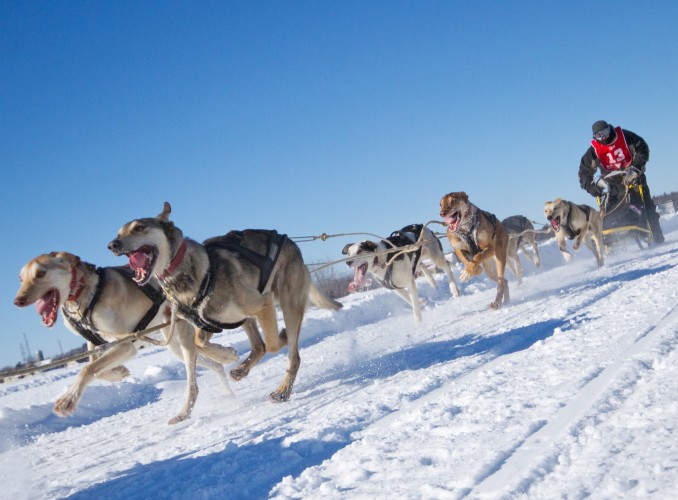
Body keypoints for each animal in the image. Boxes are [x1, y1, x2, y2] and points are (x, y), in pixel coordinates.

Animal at [13, 252, 242, 424]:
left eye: (41, 273)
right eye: (21, 279)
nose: (18, 300)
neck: (84, 296)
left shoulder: (125, 346)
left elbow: (88, 369)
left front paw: (68, 400)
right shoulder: (98, 344)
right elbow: (95, 367)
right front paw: (117, 373)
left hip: (181, 336)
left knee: (194, 378)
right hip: (174, 343)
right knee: (208, 359)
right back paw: (225, 367)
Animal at [111, 202, 346, 402]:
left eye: (139, 227)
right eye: (119, 233)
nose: (112, 244)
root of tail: (290, 242)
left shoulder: (264, 303)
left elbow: (273, 344)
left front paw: (279, 338)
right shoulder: (209, 323)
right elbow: (199, 342)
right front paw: (225, 355)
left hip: (287, 305)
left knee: (291, 356)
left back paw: (282, 389)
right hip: (244, 318)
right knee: (259, 346)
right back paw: (242, 369)